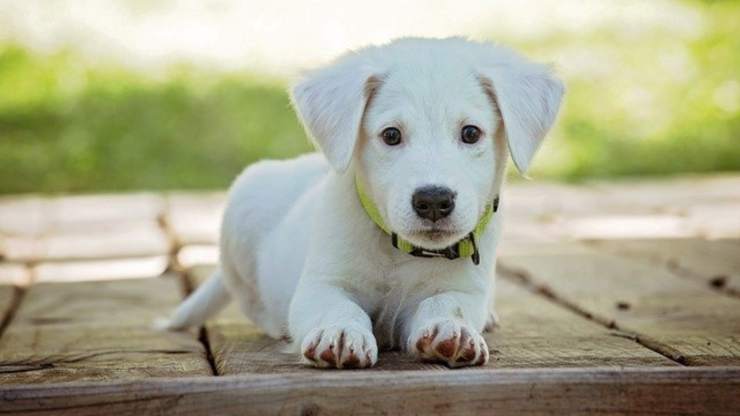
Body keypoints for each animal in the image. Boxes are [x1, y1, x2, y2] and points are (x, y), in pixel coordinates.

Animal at [165, 37, 564, 368]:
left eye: (470, 133)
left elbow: (447, 303)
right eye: (391, 135)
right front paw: (340, 332)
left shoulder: (464, 289)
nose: (434, 200)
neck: (399, 251)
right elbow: (337, 306)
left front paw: (451, 329)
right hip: (242, 211)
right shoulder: (321, 284)